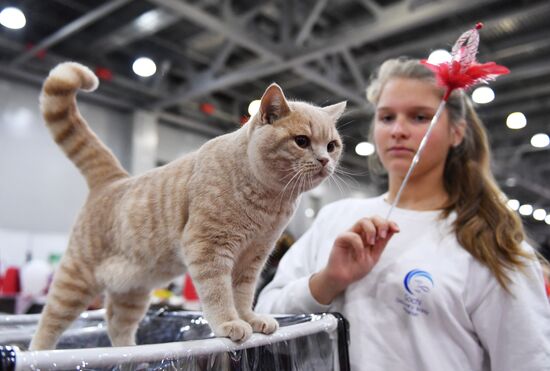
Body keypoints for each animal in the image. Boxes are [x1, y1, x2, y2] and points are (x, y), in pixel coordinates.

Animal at [29, 61, 344, 352]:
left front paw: (250, 318)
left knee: (116, 325)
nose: (324, 160)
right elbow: (219, 293)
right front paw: (230, 323)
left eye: (331, 145)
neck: (270, 202)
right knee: (48, 325)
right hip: (75, 281)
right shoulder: (209, 247)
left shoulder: (253, 257)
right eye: (301, 141)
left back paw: (130, 352)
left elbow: (242, 294)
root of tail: (114, 179)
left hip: (132, 291)